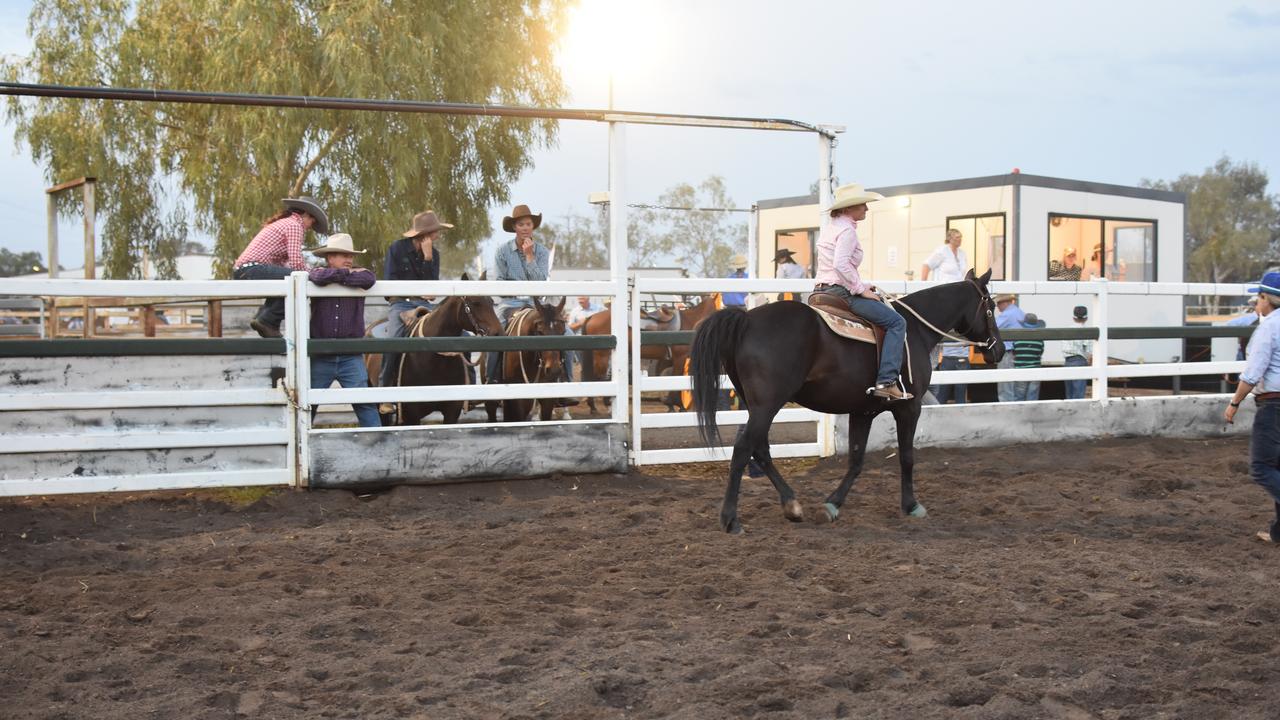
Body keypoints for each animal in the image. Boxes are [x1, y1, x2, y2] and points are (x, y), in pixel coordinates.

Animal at [691, 271, 998, 530]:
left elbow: (856, 460)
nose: (998, 350)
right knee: (745, 447)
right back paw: (731, 519)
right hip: (767, 405)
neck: (915, 331)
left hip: (756, 405)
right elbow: (907, 457)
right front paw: (911, 505)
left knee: (760, 449)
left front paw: (831, 505)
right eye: (991, 307)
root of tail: (746, 320)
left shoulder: (862, 412)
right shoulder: (909, 407)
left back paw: (792, 505)